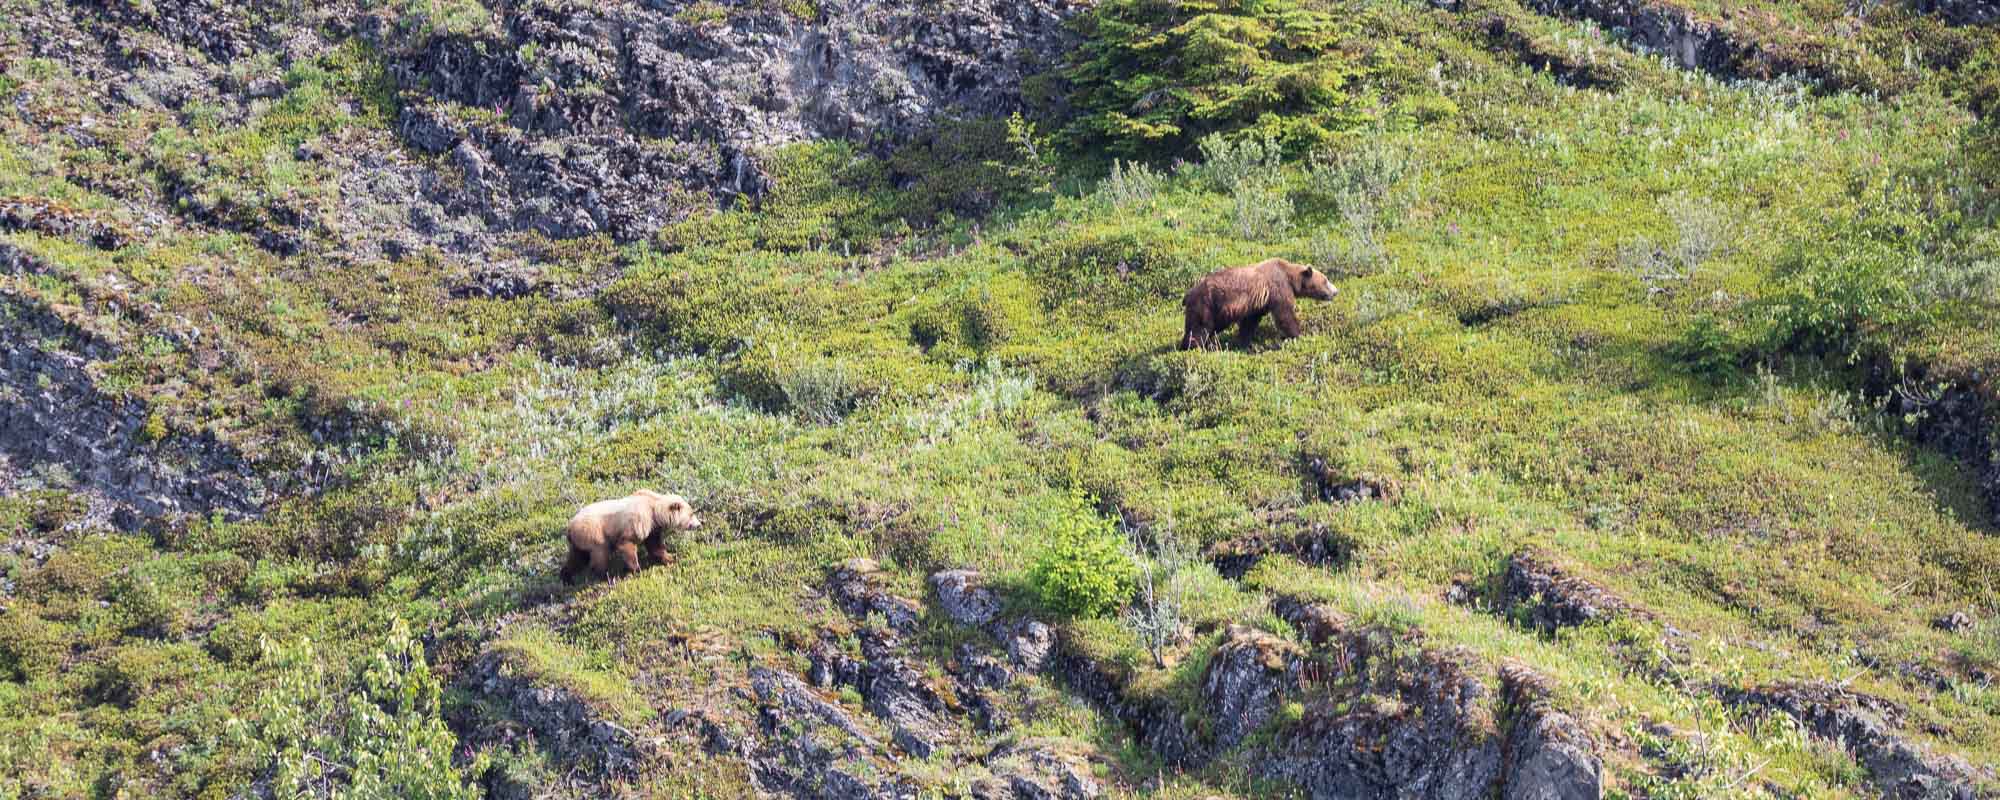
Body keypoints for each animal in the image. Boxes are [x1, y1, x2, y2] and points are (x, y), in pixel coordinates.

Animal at [560, 490, 708, 584]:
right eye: (691, 514)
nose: (699, 524)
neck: (655, 511)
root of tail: (570, 528)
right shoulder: (638, 521)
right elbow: (627, 544)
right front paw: (636, 569)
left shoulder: (652, 527)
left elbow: (655, 545)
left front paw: (671, 557)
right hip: (593, 533)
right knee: (600, 553)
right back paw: (606, 575)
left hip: (579, 541)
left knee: (576, 558)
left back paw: (566, 577)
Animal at [1176, 258, 1336, 348]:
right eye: (1326, 280)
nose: (1336, 291)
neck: (1290, 278)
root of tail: (1188, 293)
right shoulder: (1278, 287)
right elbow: (1285, 314)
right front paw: (1298, 335)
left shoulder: (1258, 303)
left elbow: (1250, 322)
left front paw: (1244, 342)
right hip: (1206, 304)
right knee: (1200, 328)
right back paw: (1194, 347)